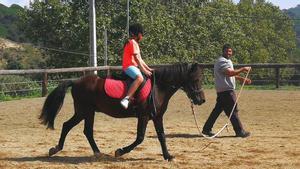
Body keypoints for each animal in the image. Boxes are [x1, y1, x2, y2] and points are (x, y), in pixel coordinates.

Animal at [38, 62, 205, 160]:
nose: (201, 100)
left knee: (80, 129)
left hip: (86, 112)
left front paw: (168, 156)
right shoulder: (144, 116)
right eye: (196, 80)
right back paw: (59, 149)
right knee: (72, 127)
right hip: (84, 111)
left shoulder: (157, 117)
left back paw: (93, 152)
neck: (159, 87)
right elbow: (140, 138)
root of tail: (76, 81)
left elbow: (162, 136)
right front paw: (120, 151)